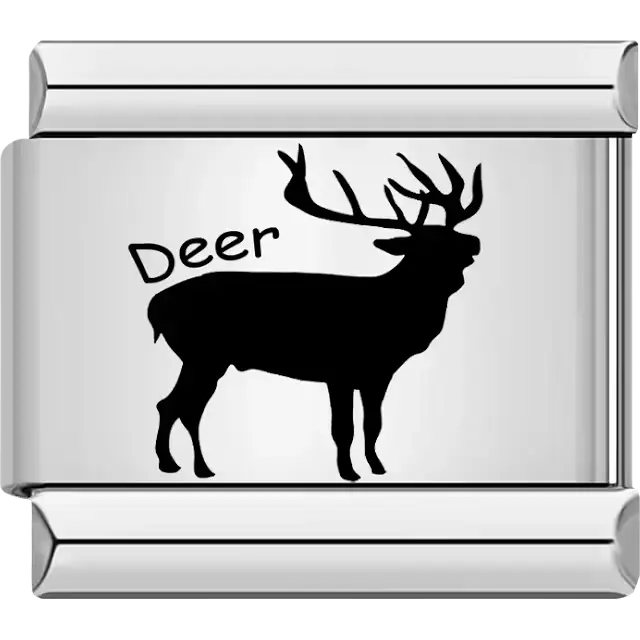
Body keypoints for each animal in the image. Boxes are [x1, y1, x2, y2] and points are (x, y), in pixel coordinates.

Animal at [148, 145, 483, 482]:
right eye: (428, 242)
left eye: (452, 234)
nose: (475, 241)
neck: (393, 312)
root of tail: (154, 307)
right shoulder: (339, 369)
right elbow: (343, 428)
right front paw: (348, 472)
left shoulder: (378, 374)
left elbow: (373, 425)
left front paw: (377, 466)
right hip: (202, 355)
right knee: (174, 406)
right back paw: (172, 463)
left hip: (206, 359)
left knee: (185, 408)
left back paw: (198, 467)